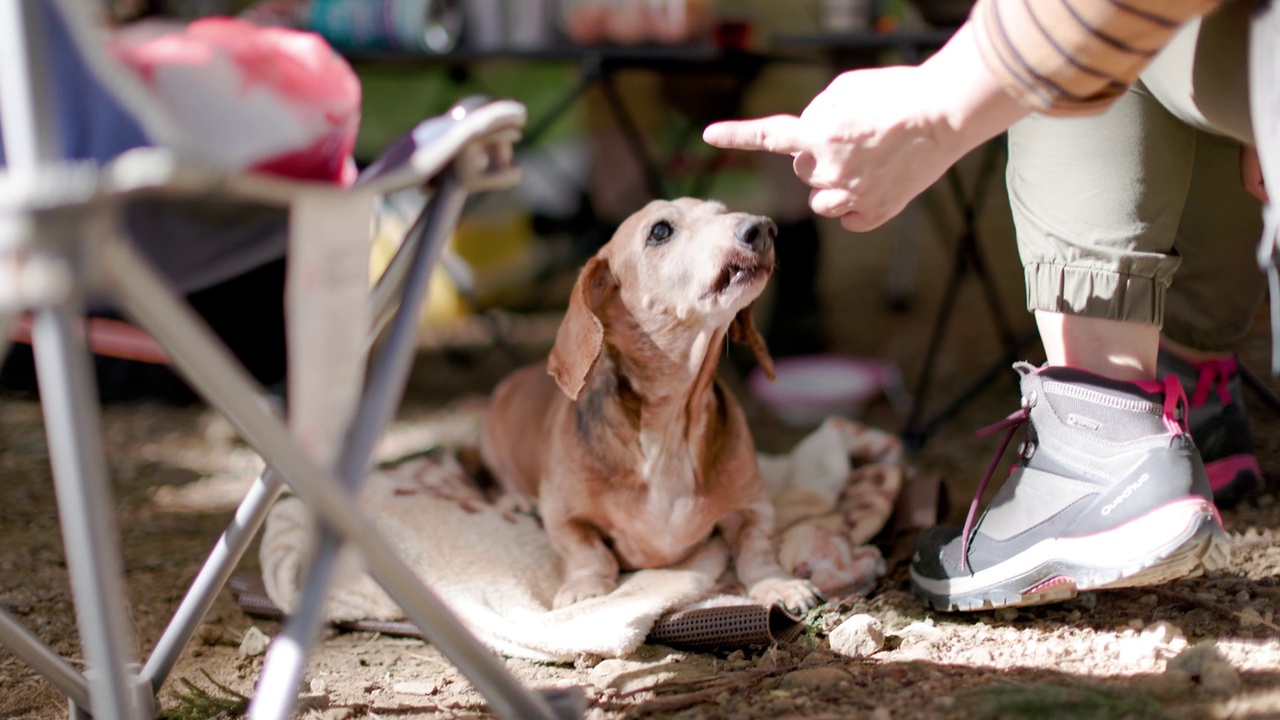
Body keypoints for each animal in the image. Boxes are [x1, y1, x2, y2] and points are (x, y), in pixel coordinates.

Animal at [481, 197, 819, 609]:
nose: (763, 228)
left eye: (722, 210)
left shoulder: (755, 505)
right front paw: (584, 586)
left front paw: (778, 583)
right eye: (660, 231)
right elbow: (587, 550)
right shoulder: (563, 516)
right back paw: (516, 502)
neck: (670, 425)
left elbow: (757, 547)